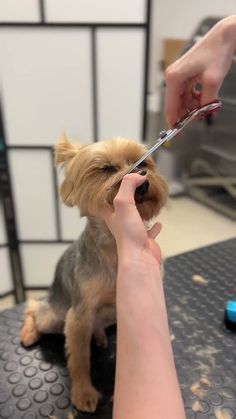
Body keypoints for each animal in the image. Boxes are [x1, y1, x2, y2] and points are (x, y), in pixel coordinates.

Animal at [20, 135, 168, 414]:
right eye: (107, 169)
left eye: (143, 163)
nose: (142, 178)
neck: (114, 246)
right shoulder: (78, 315)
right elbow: (80, 359)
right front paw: (83, 393)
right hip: (53, 315)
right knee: (34, 307)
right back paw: (29, 332)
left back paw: (98, 335)